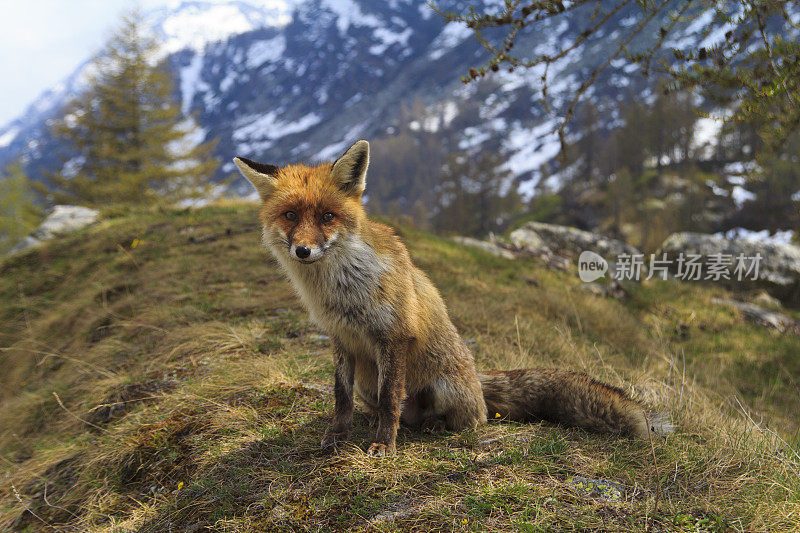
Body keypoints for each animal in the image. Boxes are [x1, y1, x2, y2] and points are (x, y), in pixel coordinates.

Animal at [234, 139, 672, 456]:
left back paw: (434, 426)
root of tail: (477, 379)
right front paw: (337, 437)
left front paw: (384, 446)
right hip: (366, 383)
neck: (340, 292)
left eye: (327, 217)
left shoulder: (394, 336)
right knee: (389, 408)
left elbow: (391, 400)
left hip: (442, 388)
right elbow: (341, 399)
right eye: (291, 216)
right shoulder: (341, 339)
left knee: (468, 420)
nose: (303, 251)